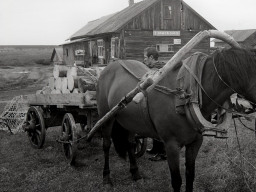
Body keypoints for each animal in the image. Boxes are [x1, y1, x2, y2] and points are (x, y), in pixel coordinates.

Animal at [95, 47, 256, 191]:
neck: (185, 96)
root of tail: (112, 65)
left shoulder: (195, 142)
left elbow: (190, 176)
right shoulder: (171, 145)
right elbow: (177, 180)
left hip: (130, 122)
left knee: (130, 143)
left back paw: (135, 173)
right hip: (107, 118)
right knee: (106, 144)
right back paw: (106, 177)